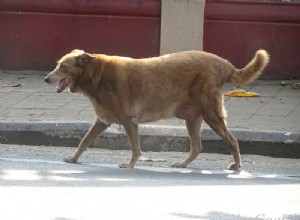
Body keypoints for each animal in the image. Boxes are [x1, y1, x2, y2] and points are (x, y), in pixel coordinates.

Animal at [44, 49, 270, 170]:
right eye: (57, 64)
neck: (95, 74)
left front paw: (131, 164)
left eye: (63, 66)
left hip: (211, 113)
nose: (46, 78)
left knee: (231, 140)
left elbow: (135, 147)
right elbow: (84, 141)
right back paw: (183, 164)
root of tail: (225, 65)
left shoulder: (129, 120)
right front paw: (73, 158)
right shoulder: (102, 121)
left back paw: (237, 165)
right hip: (193, 117)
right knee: (196, 147)